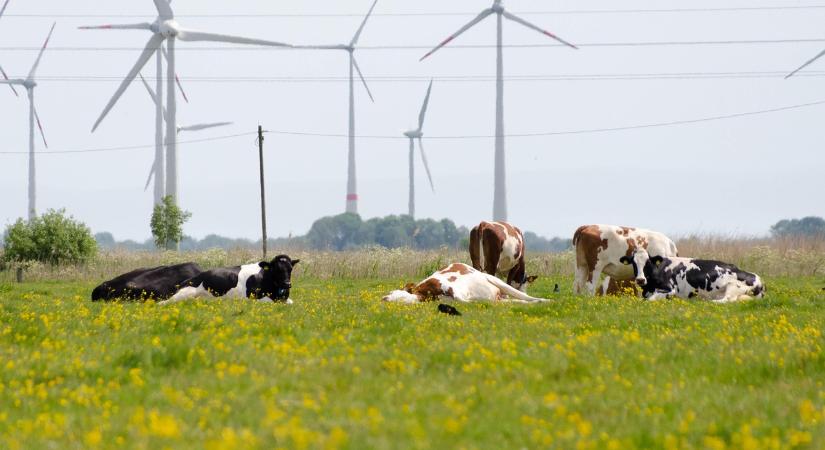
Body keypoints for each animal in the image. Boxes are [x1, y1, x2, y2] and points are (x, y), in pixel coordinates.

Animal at [160, 253, 300, 306]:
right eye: (276, 269)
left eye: (290, 269)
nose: (287, 284)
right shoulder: (254, 298)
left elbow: (291, 302)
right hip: (186, 293)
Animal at [384, 262, 552, 304]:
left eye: (392, 292)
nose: (383, 298)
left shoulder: (457, 292)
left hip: (494, 279)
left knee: (523, 297)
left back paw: (545, 300)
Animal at [620, 248, 764, 304]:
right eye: (633, 263)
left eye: (648, 263)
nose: (640, 279)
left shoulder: (670, 289)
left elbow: (651, 299)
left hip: (733, 286)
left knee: (727, 300)